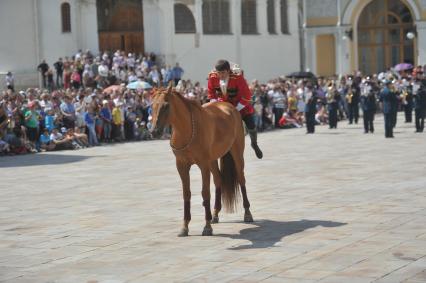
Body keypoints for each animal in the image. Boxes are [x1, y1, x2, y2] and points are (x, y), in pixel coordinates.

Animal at [150, 86, 253, 237]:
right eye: (152, 106)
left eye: (166, 105)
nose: (153, 132)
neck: (187, 130)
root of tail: (229, 106)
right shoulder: (181, 165)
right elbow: (186, 193)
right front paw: (184, 227)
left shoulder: (203, 165)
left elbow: (205, 193)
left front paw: (207, 227)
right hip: (213, 160)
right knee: (218, 180)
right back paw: (215, 214)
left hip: (237, 154)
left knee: (241, 179)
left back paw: (247, 214)